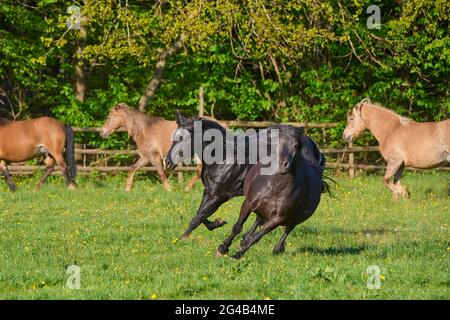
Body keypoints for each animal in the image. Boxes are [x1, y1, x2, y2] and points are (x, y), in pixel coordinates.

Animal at [165, 112, 326, 242]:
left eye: (183, 138)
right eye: (174, 137)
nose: (166, 162)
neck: (225, 158)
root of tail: (309, 142)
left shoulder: (220, 196)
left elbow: (198, 217)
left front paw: (182, 238)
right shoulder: (209, 191)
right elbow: (201, 214)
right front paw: (218, 223)